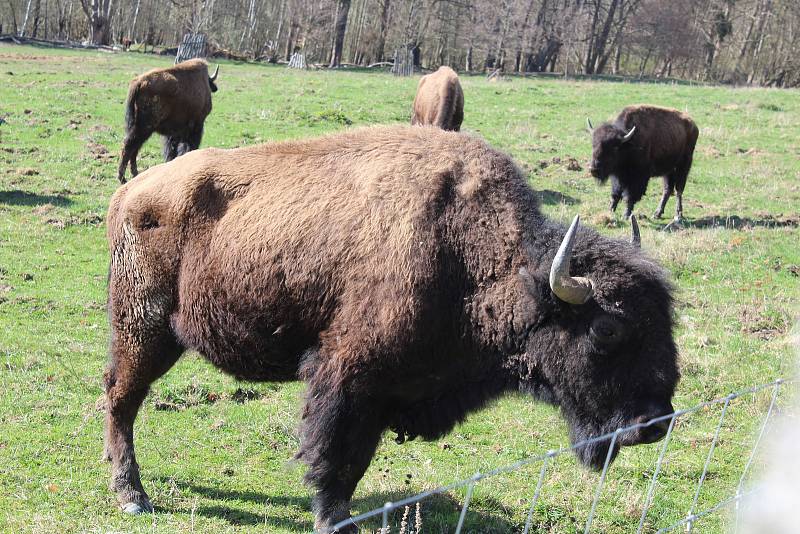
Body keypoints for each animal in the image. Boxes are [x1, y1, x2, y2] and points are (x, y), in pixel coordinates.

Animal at [104, 124, 680, 532]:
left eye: (665, 320)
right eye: (606, 330)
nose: (654, 423)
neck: (482, 258)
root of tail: (130, 192)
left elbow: (354, 458)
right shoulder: (348, 378)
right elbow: (336, 456)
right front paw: (334, 521)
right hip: (144, 328)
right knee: (120, 398)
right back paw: (133, 496)